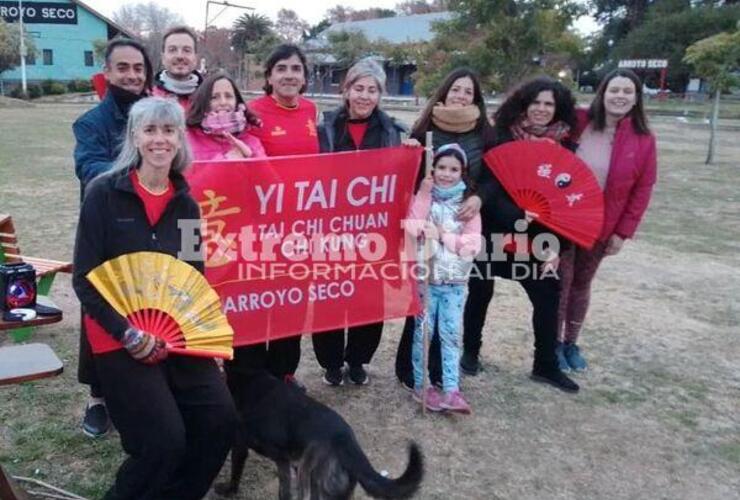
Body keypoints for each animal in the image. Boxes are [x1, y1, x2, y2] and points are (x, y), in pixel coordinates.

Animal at [214, 370, 422, 498]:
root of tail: (344, 438)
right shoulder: (286, 461)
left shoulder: (244, 447)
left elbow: (237, 473)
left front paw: (228, 490)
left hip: (310, 476)